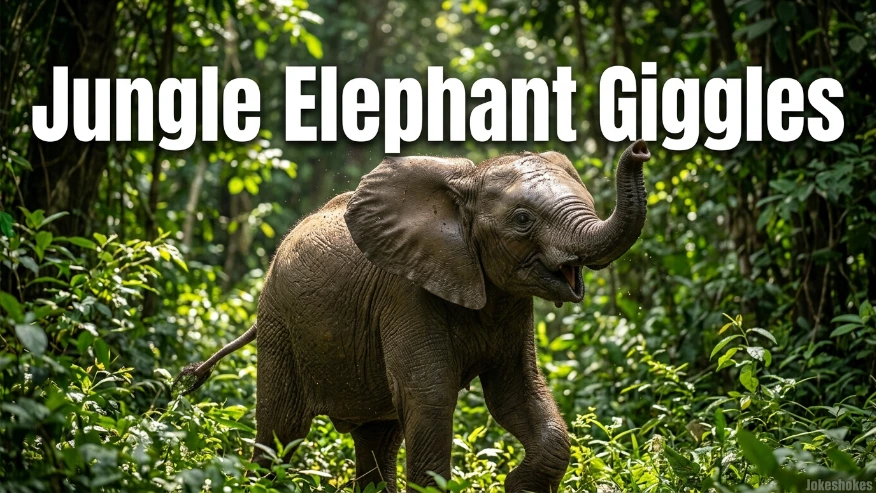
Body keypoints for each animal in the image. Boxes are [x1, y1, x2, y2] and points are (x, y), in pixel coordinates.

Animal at [174, 140, 650, 492]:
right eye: (522, 219)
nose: (641, 148)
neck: (465, 186)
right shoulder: (404, 295)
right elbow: (431, 397)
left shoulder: (512, 305)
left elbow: (517, 393)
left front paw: (516, 484)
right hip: (279, 323)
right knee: (281, 433)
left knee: (377, 437)